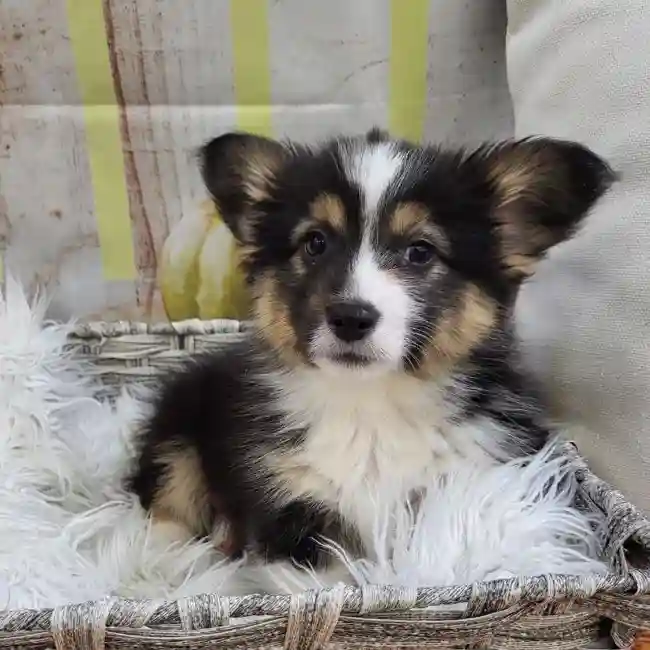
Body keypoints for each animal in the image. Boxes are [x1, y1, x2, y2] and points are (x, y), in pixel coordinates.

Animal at [129, 128, 614, 568]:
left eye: (421, 251)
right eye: (316, 242)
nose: (350, 318)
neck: (371, 403)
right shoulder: (290, 509)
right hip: (176, 429)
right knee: (166, 506)